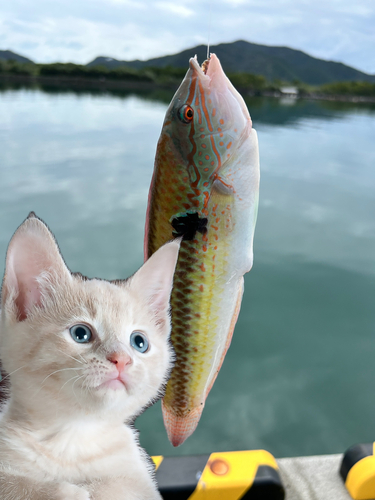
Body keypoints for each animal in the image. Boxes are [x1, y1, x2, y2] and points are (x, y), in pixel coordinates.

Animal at [0, 214, 181, 500]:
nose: (121, 359)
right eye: (81, 334)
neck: (73, 438)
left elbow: (123, 486)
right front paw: (65, 491)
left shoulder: (137, 478)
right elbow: (12, 482)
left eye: (139, 342)